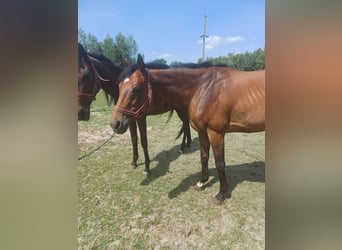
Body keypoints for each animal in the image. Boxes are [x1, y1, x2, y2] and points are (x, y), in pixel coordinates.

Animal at [77, 44, 191, 173]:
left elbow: (143, 141)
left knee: (185, 124)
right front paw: (134, 162)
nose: (80, 113)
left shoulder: (140, 117)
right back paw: (187, 144)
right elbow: (134, 139)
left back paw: (183, 147)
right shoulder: (128, 119)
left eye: (86, 75)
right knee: (186, 124)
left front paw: (147, 167)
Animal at [110, 54, 264, 203]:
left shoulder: (216, 133)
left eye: (136, 88)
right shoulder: (202, 131)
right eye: (119, 86)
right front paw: (201, 183)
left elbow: (220, 163)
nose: (115, 124)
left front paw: (221, 194)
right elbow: (204, 156)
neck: (203, 88)